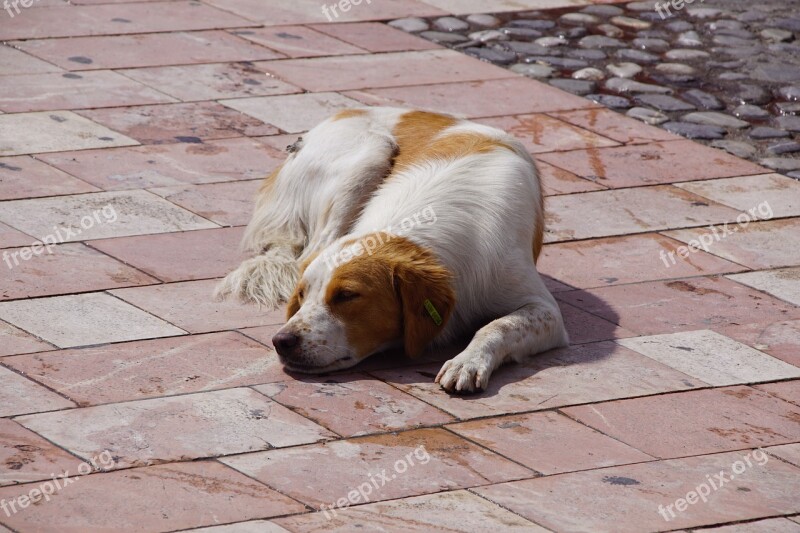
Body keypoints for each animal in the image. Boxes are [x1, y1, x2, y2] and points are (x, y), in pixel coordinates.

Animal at [216, 107, 568, 390]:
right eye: (301, 295)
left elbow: (498, 324)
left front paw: (466, 361)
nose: (282, 341)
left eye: (347, 295)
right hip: (372, 152)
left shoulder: (545, 311)